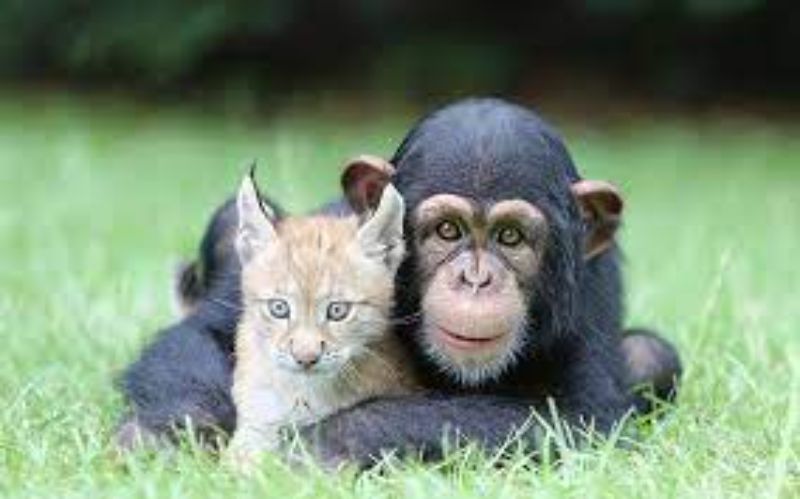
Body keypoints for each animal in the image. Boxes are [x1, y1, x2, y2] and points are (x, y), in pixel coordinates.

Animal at [119, 96, 680, 460]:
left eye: (511, 237)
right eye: (448, 230)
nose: (476, 280)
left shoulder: (586, 300)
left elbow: (581, 417)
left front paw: (317, 447)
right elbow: (208, 335)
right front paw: (164, 435)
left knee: (651, 354)